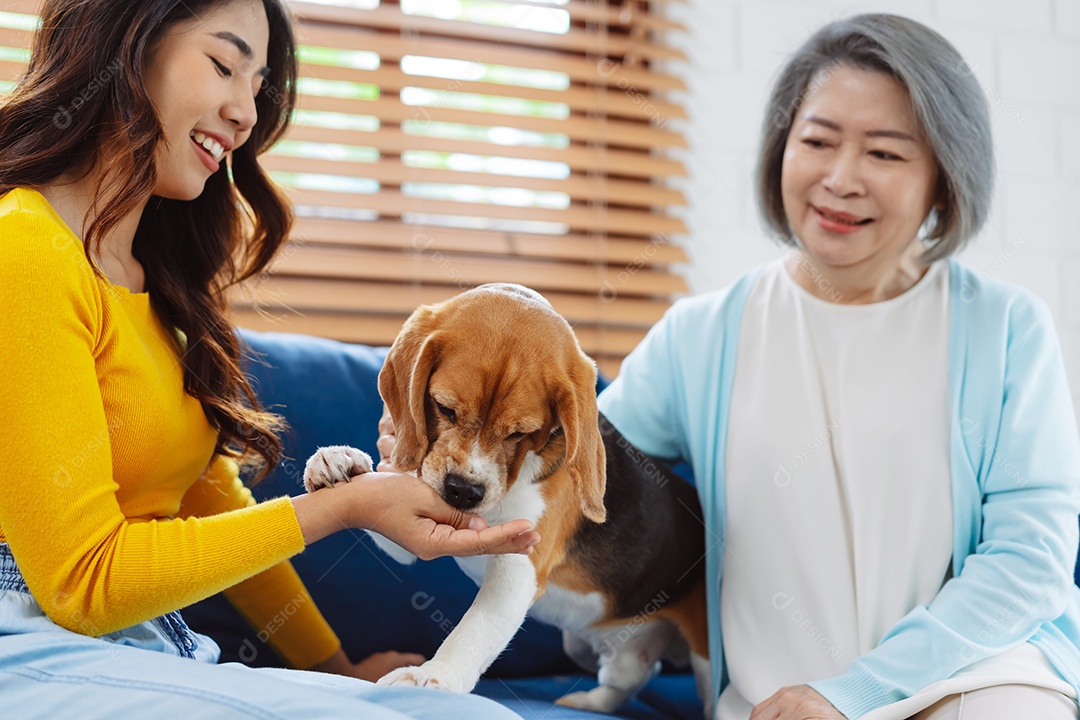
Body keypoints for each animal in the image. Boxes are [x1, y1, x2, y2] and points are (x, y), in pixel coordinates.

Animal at [302, 282, 708, 716]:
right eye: (444, 408)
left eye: (520, 433)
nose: (462, 491)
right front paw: (341, 462)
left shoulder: (519, 567)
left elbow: (474, 628)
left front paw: (433, 678)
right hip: (588, 647)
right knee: (631, 676)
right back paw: (589, 701)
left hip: (702, 654)